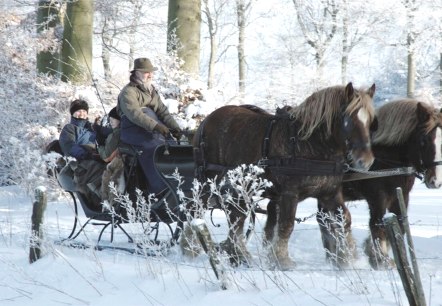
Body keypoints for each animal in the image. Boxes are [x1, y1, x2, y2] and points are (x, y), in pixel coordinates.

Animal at [193, 82, 376, 268]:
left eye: (370, 121)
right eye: (348, 120)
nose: (365, 161)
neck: (310, 144)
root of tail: (206, 121)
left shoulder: (330, 193)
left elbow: (344, 219)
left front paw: (350, 259)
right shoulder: (289, 193)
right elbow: (286, 225)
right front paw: (282, 260)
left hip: (238, 190)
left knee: (236, 218)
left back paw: (238, 255)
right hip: (207, 183)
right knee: (197, 211)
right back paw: (195, 248)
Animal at [334, 99, 442, 268]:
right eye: (423, 140)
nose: (436, 181)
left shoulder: (400, 195)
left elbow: (399, 224)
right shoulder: (377, 198)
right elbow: (377, 224)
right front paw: (380, 259)